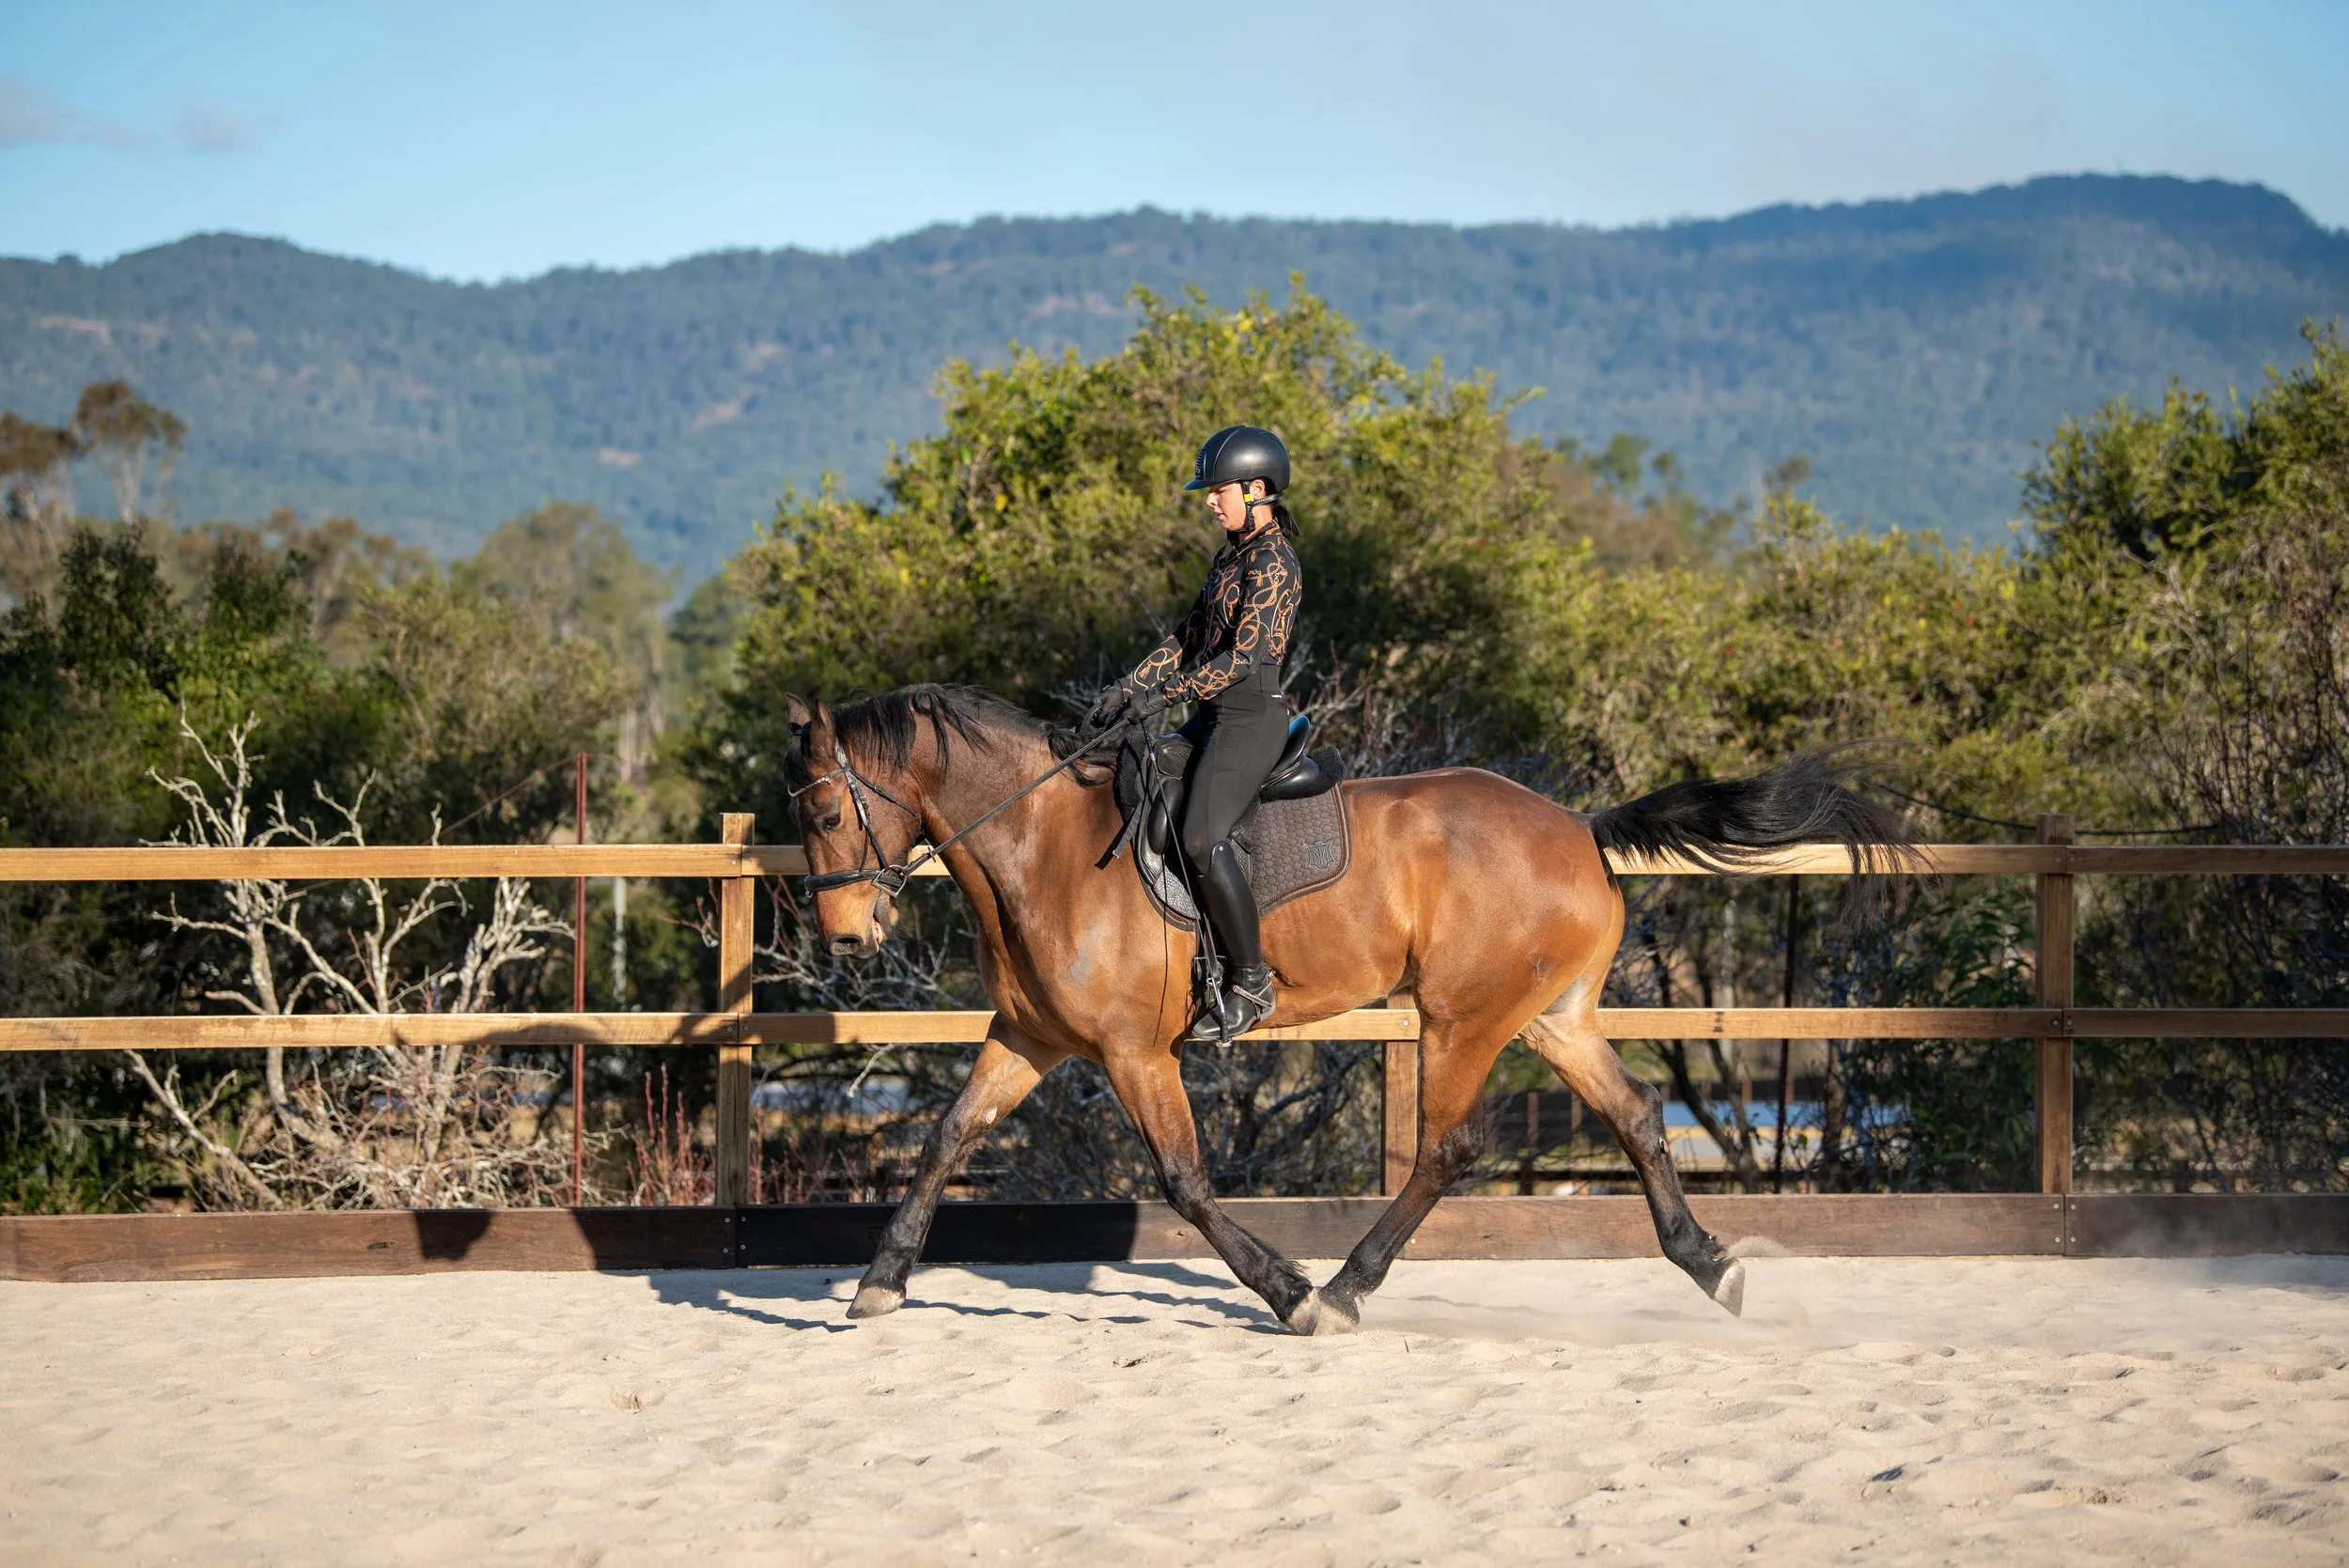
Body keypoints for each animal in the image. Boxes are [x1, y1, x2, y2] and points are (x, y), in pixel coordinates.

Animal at [781, 684, 1906, 1335]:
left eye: (828, 806)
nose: (847, 938)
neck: (1045, 845)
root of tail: (1578, 829)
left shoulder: (1134, 1052)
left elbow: (1184, 1180)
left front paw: (1288, 1293)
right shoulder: (1029, 1037)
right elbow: (945, 1137)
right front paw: (879, 1282)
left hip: (1461, 1019)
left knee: (1447, 1149)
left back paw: (1347, 1287)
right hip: (1553, 1017)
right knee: (1632, 1116)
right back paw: (1711, 1266)